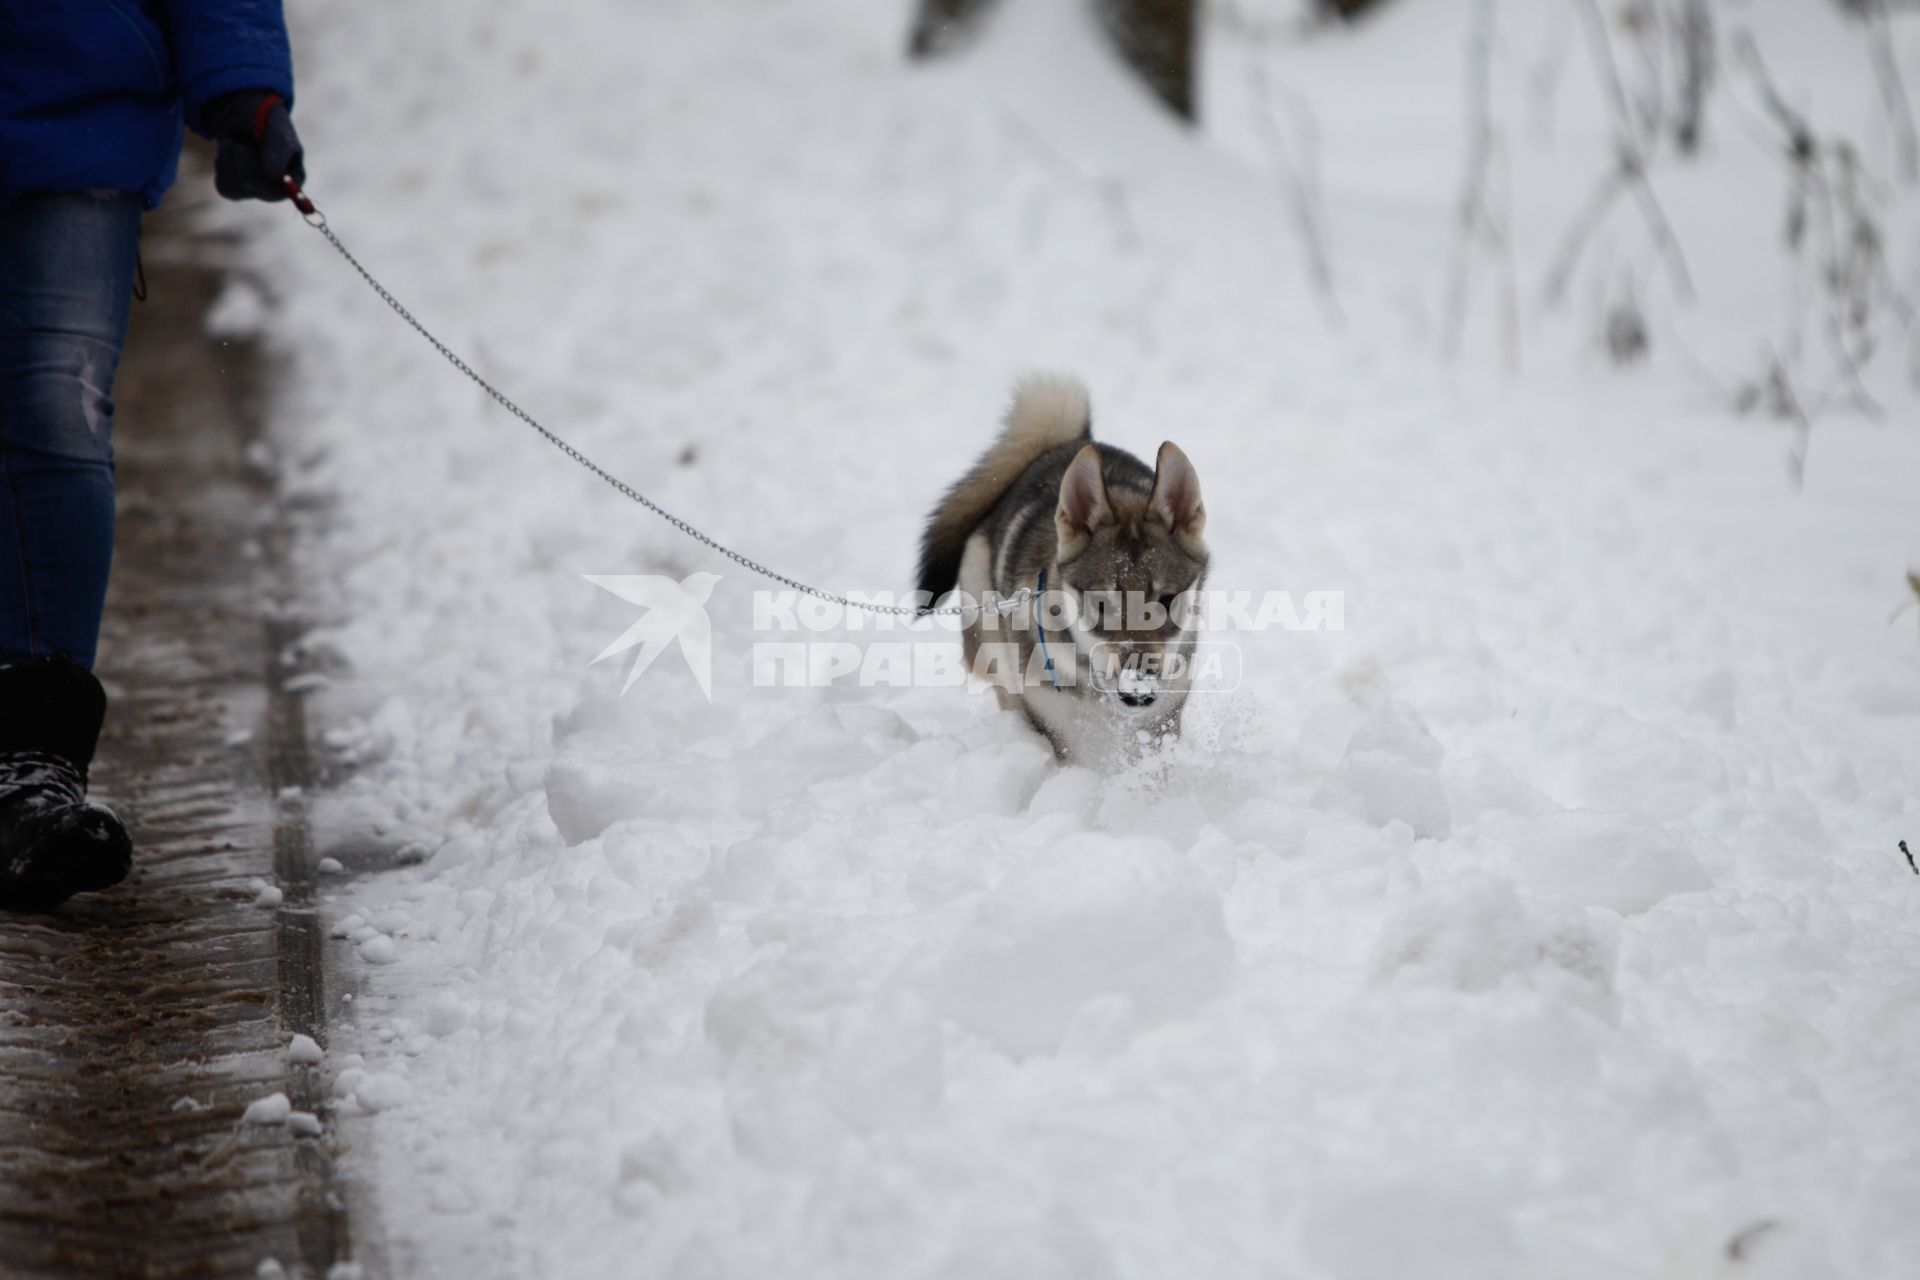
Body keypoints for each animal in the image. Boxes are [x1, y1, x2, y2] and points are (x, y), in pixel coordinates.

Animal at [917, 376, 1213, 767]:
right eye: (1101, 604)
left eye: (1166, 599)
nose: (1138, 693)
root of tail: (1066, 441)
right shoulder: (1060, 729)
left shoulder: (1161, 719)